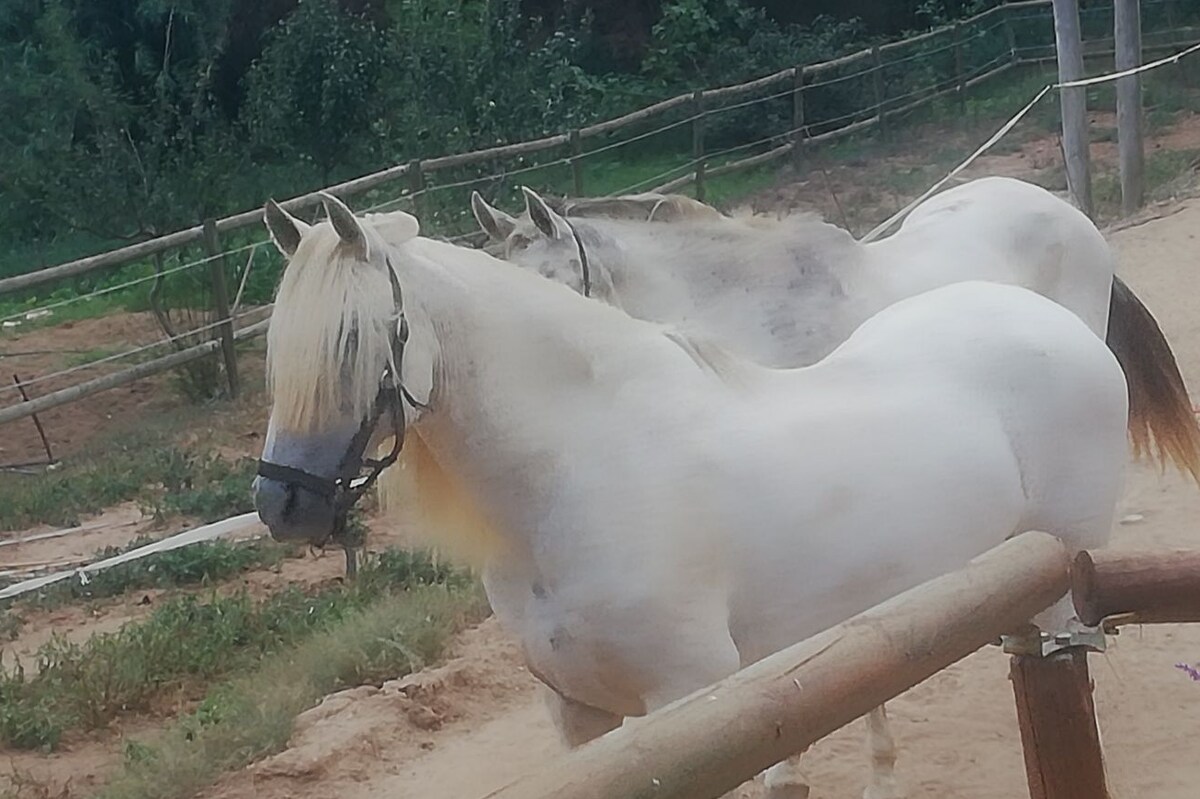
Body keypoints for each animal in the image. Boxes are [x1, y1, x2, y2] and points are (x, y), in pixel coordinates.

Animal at [250, 193, 1123, 796]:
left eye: (354, 338)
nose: (283, 503)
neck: (585, 471)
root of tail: (1045, 317)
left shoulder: (688, 702)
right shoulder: (581, 720)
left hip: (1059, 583)